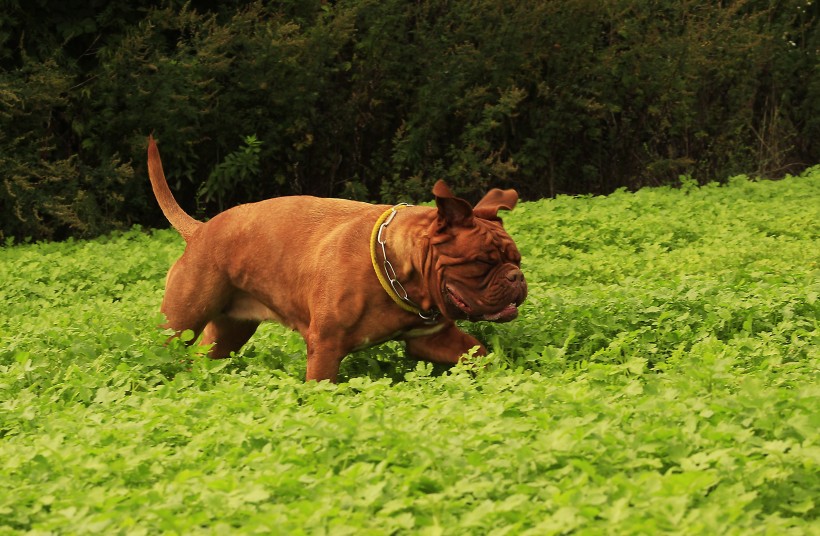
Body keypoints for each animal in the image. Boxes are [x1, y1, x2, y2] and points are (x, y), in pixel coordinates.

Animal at [148, 137, 528, 382]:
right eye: (481, 263)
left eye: (517, 259)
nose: (516, 277)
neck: (399, 269)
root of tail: (199, 230)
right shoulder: (325, 349)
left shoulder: (433, 339)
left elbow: (478, 353)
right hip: (181, 322)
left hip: (227, 334)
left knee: (204, 359)